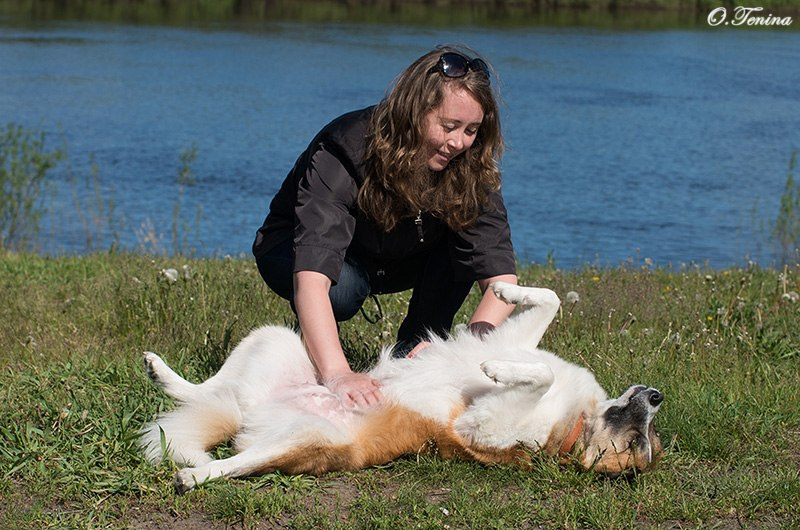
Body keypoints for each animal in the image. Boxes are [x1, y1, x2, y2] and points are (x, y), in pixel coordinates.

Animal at [139, 280, 664, 490]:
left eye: (638, 445)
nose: (656, 396)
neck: (577, 421)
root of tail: (251, 418)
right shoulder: (518, 338)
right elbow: (550, 301)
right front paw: (506, 290)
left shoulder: (478, 426)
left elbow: (540, 372)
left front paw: (496, 369)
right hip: (275, 339)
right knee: (209, 392)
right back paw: (162, 373)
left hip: (308, 437)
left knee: (236, 462)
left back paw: (194, 476)